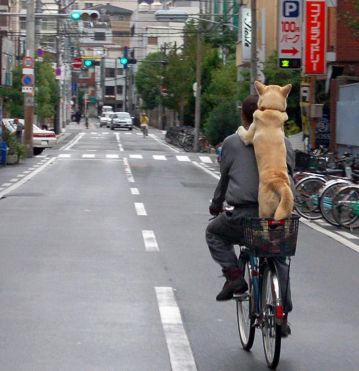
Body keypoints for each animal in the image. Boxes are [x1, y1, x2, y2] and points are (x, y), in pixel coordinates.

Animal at [238, 81, 294, 221]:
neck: (271, 109)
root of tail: (280, 183)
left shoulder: (248, 136)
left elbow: (242, 131)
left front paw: (238, 129)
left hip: (263, 209)